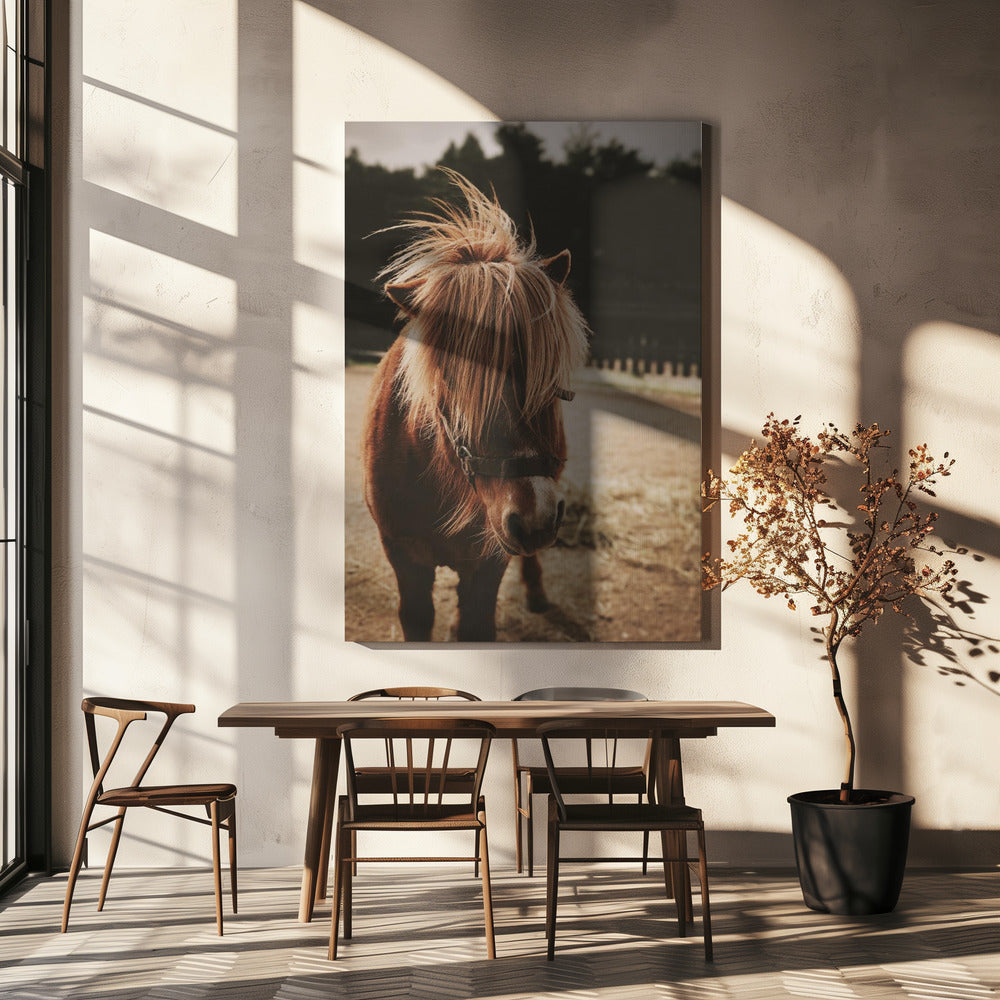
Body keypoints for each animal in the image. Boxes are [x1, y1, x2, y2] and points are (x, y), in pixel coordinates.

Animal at [362, 169, 590, 641]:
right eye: (452, 381)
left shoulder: (489, 563)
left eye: (549, 377)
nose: (533, 519)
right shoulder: (404, 560)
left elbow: (477, 622)